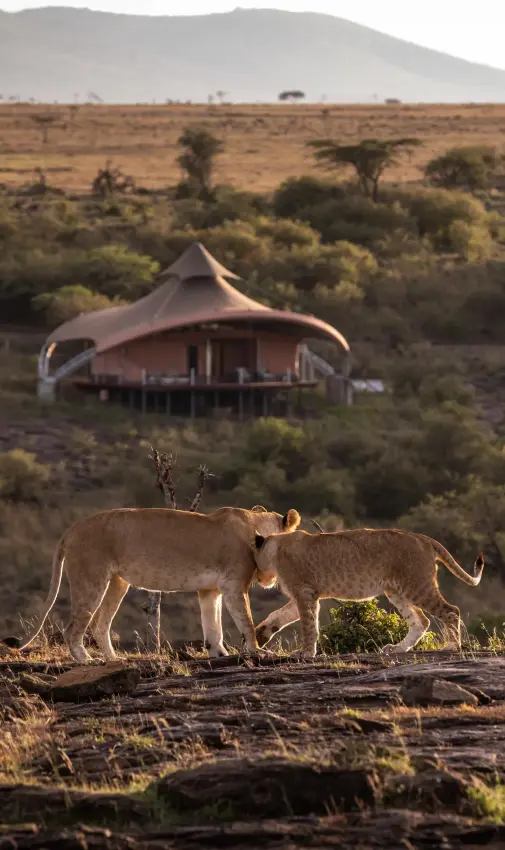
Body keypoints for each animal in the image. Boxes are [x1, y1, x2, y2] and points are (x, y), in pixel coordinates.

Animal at [18, 505, 301, 664]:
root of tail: (71, 529)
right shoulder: (233, 584)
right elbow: (247, 622)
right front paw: (257, 652)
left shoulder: (210, 590)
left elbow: (213, 624)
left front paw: (219, 652)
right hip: (91, 578)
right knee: (73, 628)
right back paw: (86, 660)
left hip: (117, 583)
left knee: (100, 624)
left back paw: (114, 659)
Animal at [252, 528, 484, 657]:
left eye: (253, 564)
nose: (258, 580)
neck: (276, 546)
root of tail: (424, 538)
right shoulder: (306, 593)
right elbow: (280, 614)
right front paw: (261, 633)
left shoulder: (305, 591)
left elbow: (308, 625)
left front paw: (307, 652)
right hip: (396, 590)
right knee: (421, 621)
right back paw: (397, 649)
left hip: (416, 585)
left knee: (451, 610)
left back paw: (452, 645)